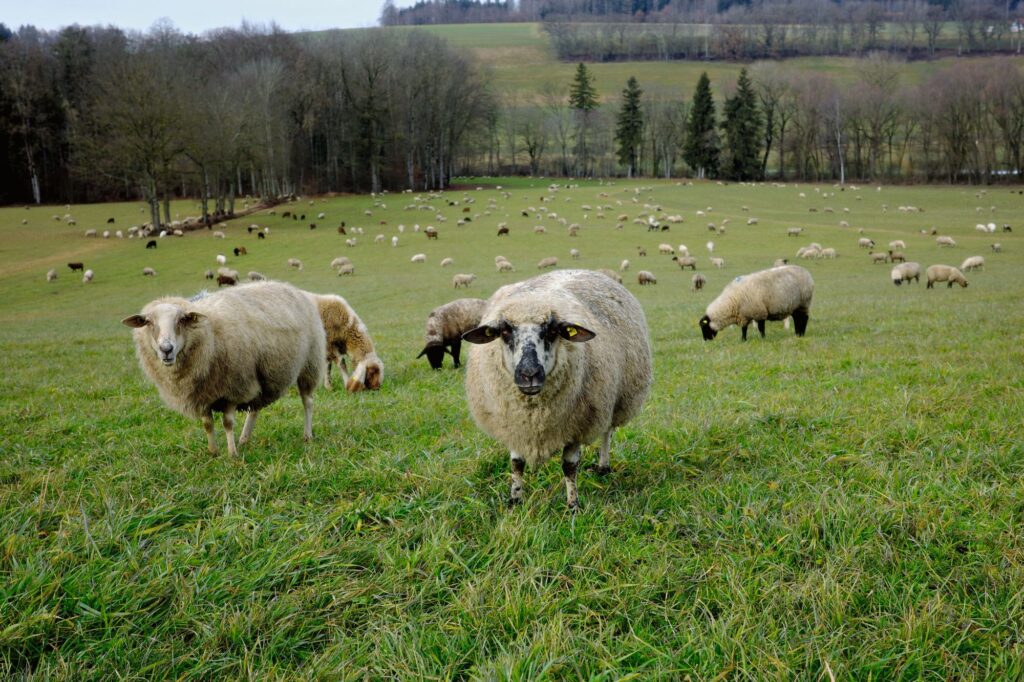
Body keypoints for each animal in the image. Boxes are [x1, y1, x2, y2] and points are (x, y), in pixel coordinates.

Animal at [122, 282, 326, 457]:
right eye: (148, 322)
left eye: (182, 320)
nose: (166, 349)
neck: (209, 334)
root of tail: (290, 287)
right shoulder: (202, 394)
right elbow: (207, 424)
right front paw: (214, 452)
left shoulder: (232, 388)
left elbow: (227, 423)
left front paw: (232, 454)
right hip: (259, 374)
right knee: (255, 409)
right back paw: (244, 438)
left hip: (310, 363)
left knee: (307, 402)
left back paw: (307, 435)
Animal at [462, 269, 652, 509]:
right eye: (505, 332)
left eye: (552, 331)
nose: (529, 374)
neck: (534, 413)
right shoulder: (514, 423)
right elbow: (516, 464)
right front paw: (515, 499)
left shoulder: (577, 424)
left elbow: (569, 467)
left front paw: (573, 506)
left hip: (613, 400)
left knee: (606, 433)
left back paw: (603, 466)